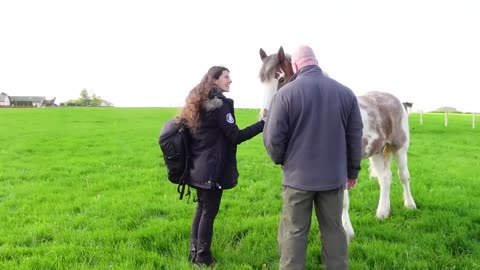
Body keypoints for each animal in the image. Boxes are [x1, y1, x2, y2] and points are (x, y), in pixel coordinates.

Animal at [258, 46, 416, 240]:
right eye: (261, 81)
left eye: (280, 78)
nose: (264, 118)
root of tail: (395, 100)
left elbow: (343, 202)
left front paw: (347, 232)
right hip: (377, 151)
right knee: (385, 178)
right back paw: (382, 213)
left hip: (399, 147)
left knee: (403, 176)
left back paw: (410, 205)